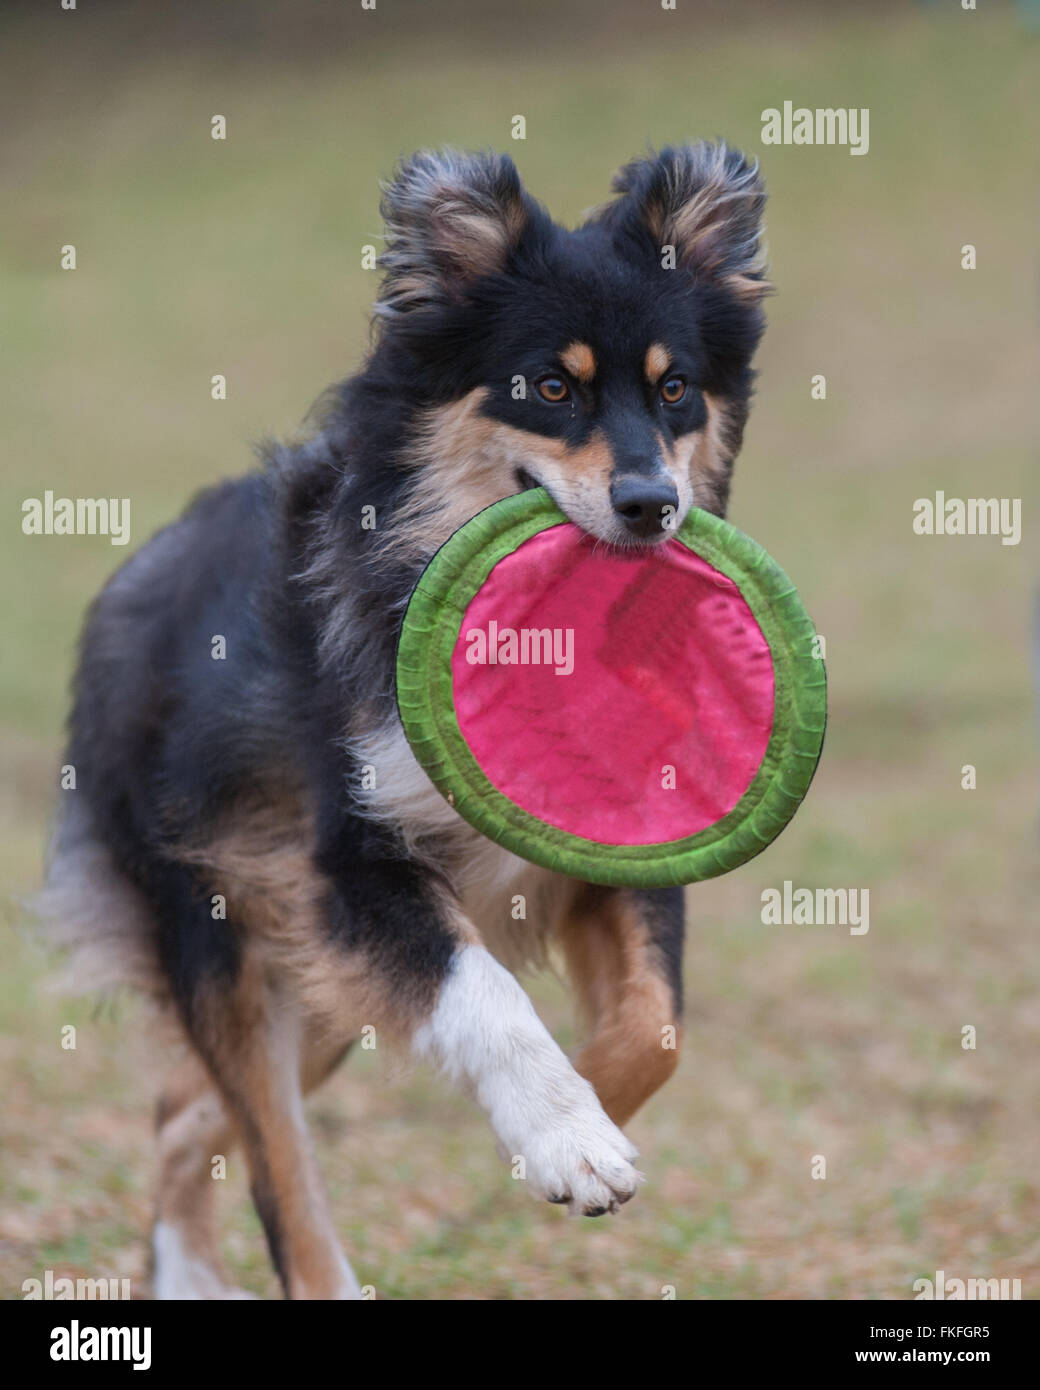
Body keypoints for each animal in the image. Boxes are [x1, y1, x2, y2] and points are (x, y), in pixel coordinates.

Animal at [40, 146, 767, 1295]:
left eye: (675, 387)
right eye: (548, 387)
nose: (653, 505)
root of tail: (139, 571)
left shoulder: (614, 850)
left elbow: (657, 1028)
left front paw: (577, 1120)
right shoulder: (351, 867)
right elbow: (488, 999)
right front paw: (564, 1135)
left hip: (310, 987)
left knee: (187, 1116)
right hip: (226, 931)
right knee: (274, 1164)